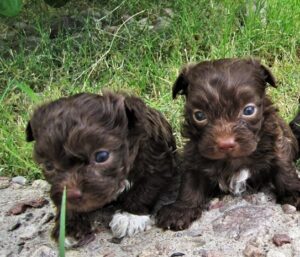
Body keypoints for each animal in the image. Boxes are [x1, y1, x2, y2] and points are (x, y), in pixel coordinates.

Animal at [26, 91, 178, 244]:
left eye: (101, 156)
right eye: (48, 165)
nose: (72, 194)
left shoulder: (156, 164)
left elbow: (144, 190)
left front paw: (129, 216)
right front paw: (69, 225)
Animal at [156, 58, 300, 230]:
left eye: (249, 110)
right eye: (199, 115)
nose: (225, 144)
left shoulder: (275, 144)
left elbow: (284, 168)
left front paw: (295, 192)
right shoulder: (194, 155)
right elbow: (190, 182)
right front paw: (181, 209)